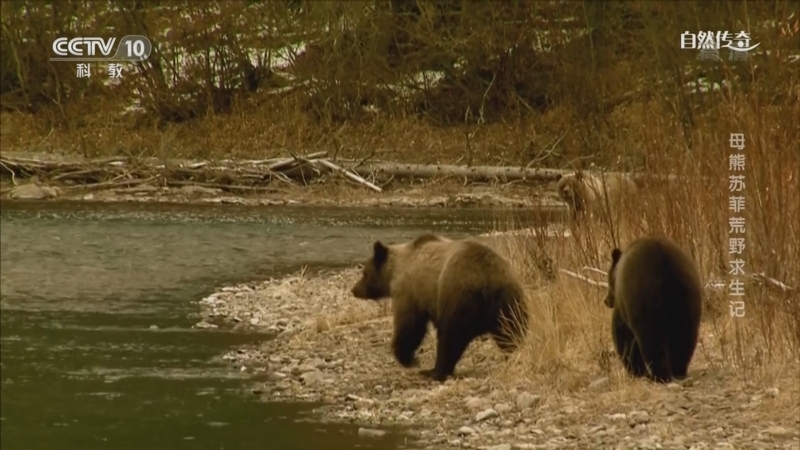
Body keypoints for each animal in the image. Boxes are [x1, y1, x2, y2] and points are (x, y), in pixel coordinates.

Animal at [350, 233, 529, 382]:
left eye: (364, 273)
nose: (354, 289)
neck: (396, 270)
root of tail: (487, 279)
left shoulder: (411, 292)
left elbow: (410, 326)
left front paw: (408, 358)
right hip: (509, 301)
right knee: (511, 332)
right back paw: (515, 355)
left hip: (457, 296)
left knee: (451, 337)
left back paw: (435, 371)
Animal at [603, 236, 703, 383]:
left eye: (607, 279)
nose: (606, 300)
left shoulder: (623, 305)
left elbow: (623, 335)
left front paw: (636, 370)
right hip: (688, 296)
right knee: (685, 335)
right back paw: (678, 370)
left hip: (644, 297)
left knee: (651, 340)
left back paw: (660, 375)